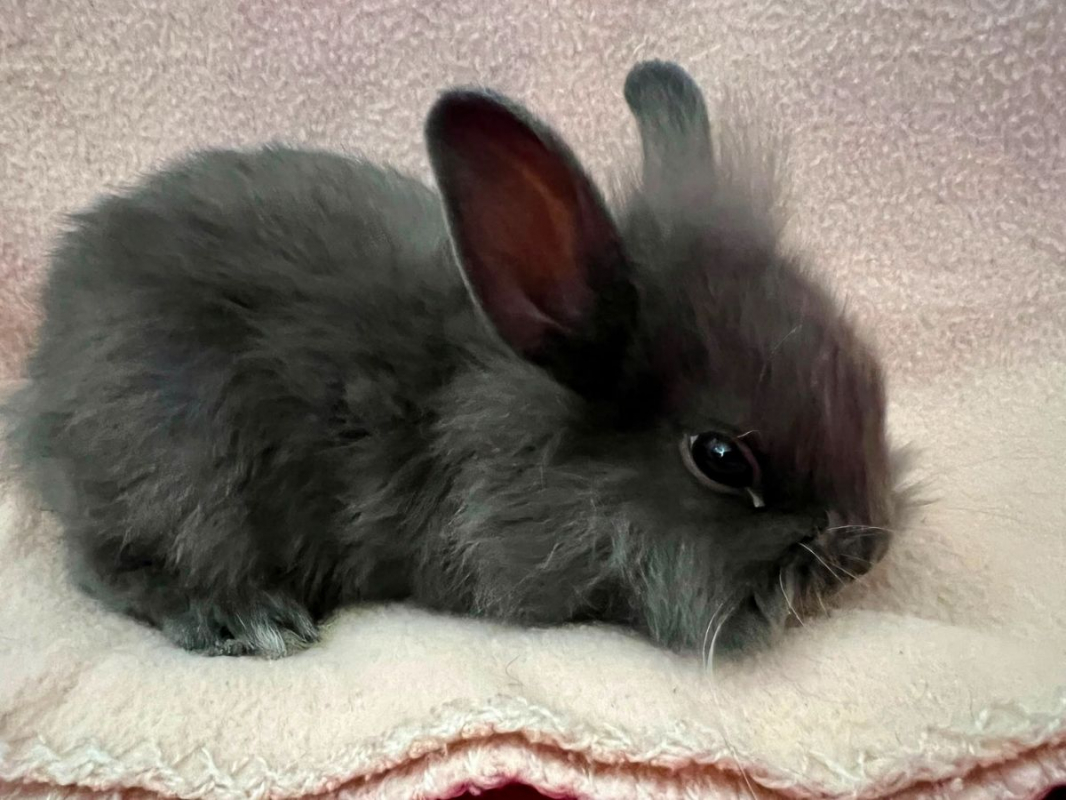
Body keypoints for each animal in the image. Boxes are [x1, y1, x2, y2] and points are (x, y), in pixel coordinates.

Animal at [7, 61, 902, 659]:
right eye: (720, 459)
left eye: (870, 380)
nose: (867, 550)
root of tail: (44, 368)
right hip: (177, 472)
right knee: (108, 563)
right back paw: (244, 618)